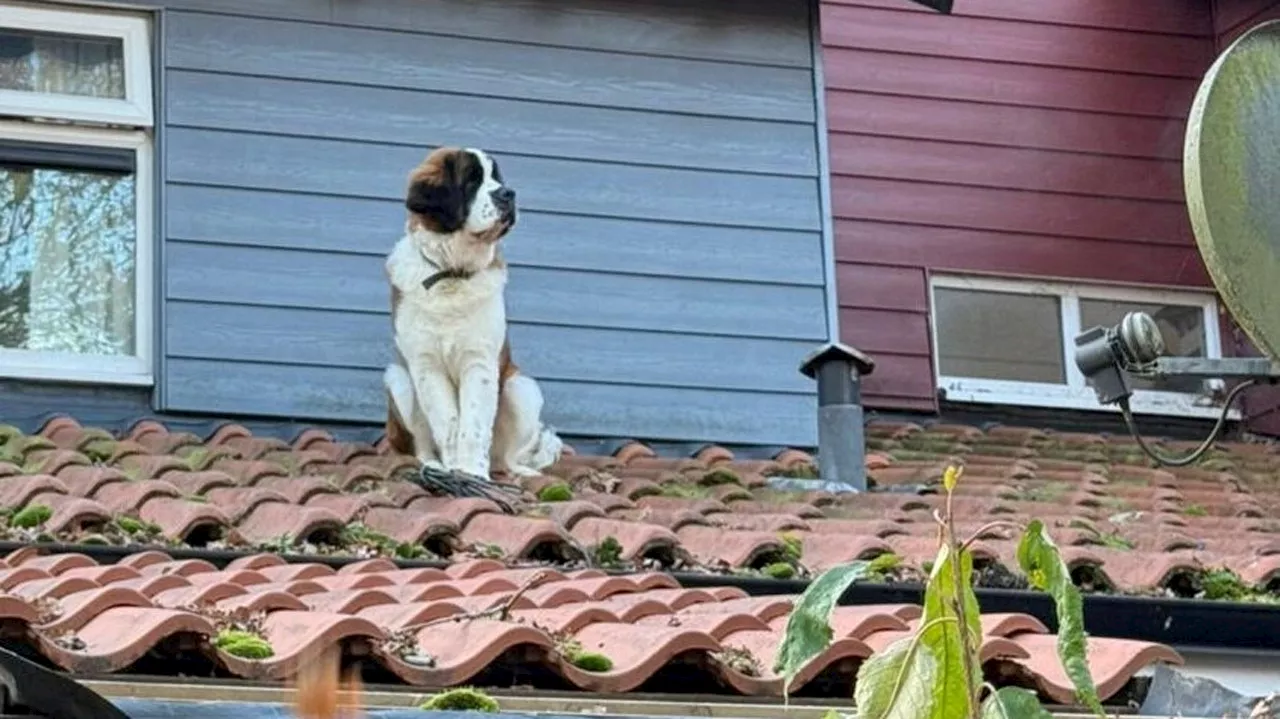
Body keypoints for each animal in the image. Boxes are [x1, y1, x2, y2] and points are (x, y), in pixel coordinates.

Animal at [378, 146, 560, 478]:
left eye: (496, 177)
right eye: (472, 181)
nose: (508, 194)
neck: (452, 274)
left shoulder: (480, 363)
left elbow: (473, 425)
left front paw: (473, 473)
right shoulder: (427, 367)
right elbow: (448, 422)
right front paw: (455, 470)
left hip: (521, 388)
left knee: (506, 457)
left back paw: (519, 471)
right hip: (399, 380)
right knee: (421, 445)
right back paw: (433, 464)